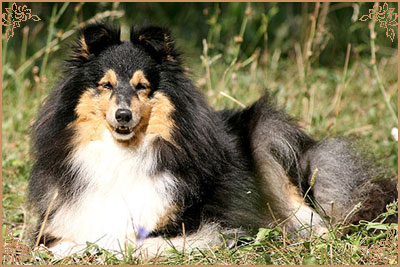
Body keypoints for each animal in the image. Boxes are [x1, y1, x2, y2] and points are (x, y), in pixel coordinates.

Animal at [28, 23, 396, 260]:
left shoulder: (200, 223)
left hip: (267, 133)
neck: (123, 153)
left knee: (320, 218)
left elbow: (130, 241)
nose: (123, 116)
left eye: (142, 86)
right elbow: (59, 239)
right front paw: (64, 247)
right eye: (105, 85)